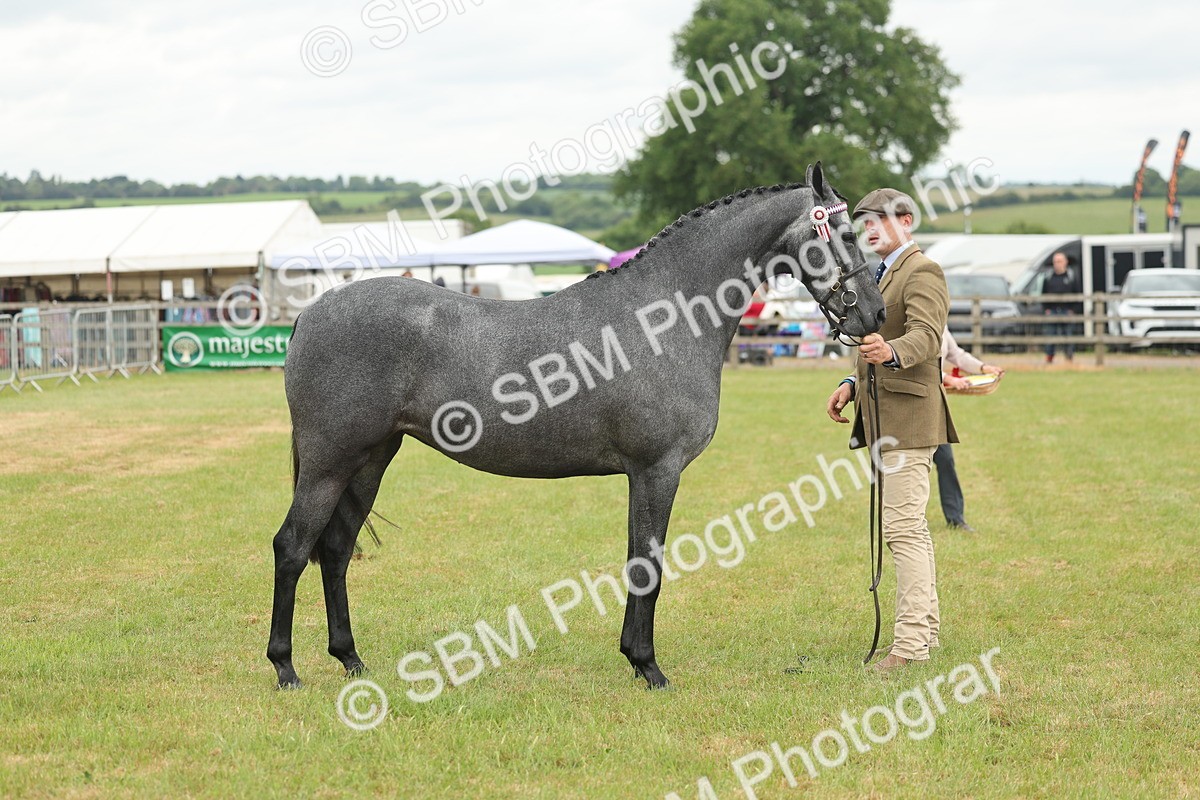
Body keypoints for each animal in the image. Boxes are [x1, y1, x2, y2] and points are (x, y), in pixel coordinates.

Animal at [267, 162, 886, 690]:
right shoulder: (657, 471)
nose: (874, 315)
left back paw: (351, 659)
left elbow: (639, 560)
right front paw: (649, 667)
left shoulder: (645, 475)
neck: (662, 316)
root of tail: (310, 313)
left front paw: (634, 658)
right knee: (293, 547)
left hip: (371, 458)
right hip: (329, 462)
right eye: (847, 233)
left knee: (336, 549)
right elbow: (648, 564)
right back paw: (285, 668)